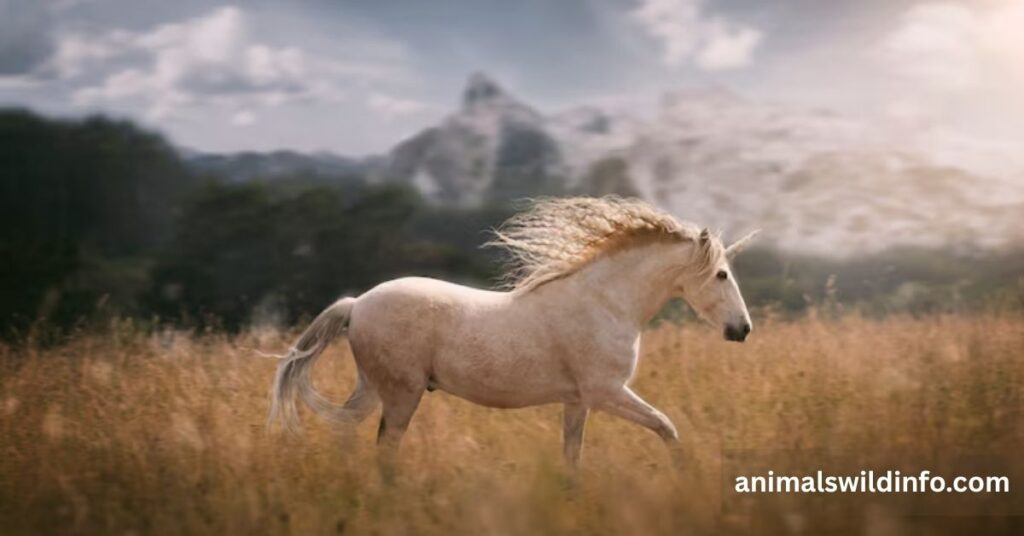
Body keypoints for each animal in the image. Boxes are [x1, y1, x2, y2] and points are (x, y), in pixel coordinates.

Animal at [267, 196, 758, 467]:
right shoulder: (606, 392)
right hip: (402, 393)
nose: (743, 329)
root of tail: (356, 304)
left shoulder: (578, 402)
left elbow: (572, 460)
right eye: (721, 275)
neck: (605, 302)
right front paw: (684, 473)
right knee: (384, 451)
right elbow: (667, 428)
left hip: (375, 388)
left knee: (345, 430)